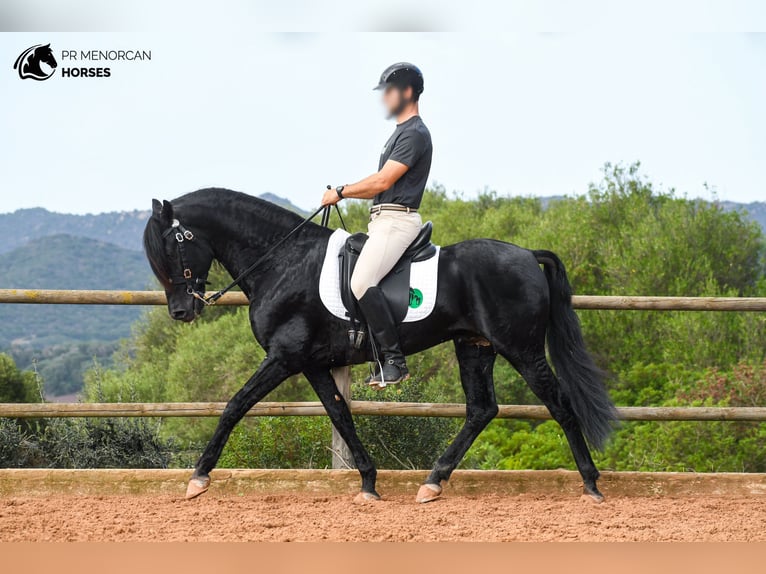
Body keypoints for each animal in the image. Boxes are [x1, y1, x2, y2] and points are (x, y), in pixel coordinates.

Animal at [144, 188, 620, 504]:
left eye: (172, 246)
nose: (182, 311)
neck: (283, 262)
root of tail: (526, 254)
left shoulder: (283, 357)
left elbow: (235, 405)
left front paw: (198, 478)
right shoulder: (311, 363)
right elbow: (340, 414)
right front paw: (369, 483)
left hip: (521, 349)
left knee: (559, 403)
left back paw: (591, 484)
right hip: (475, 346)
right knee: (482, 409)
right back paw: (433, 481)